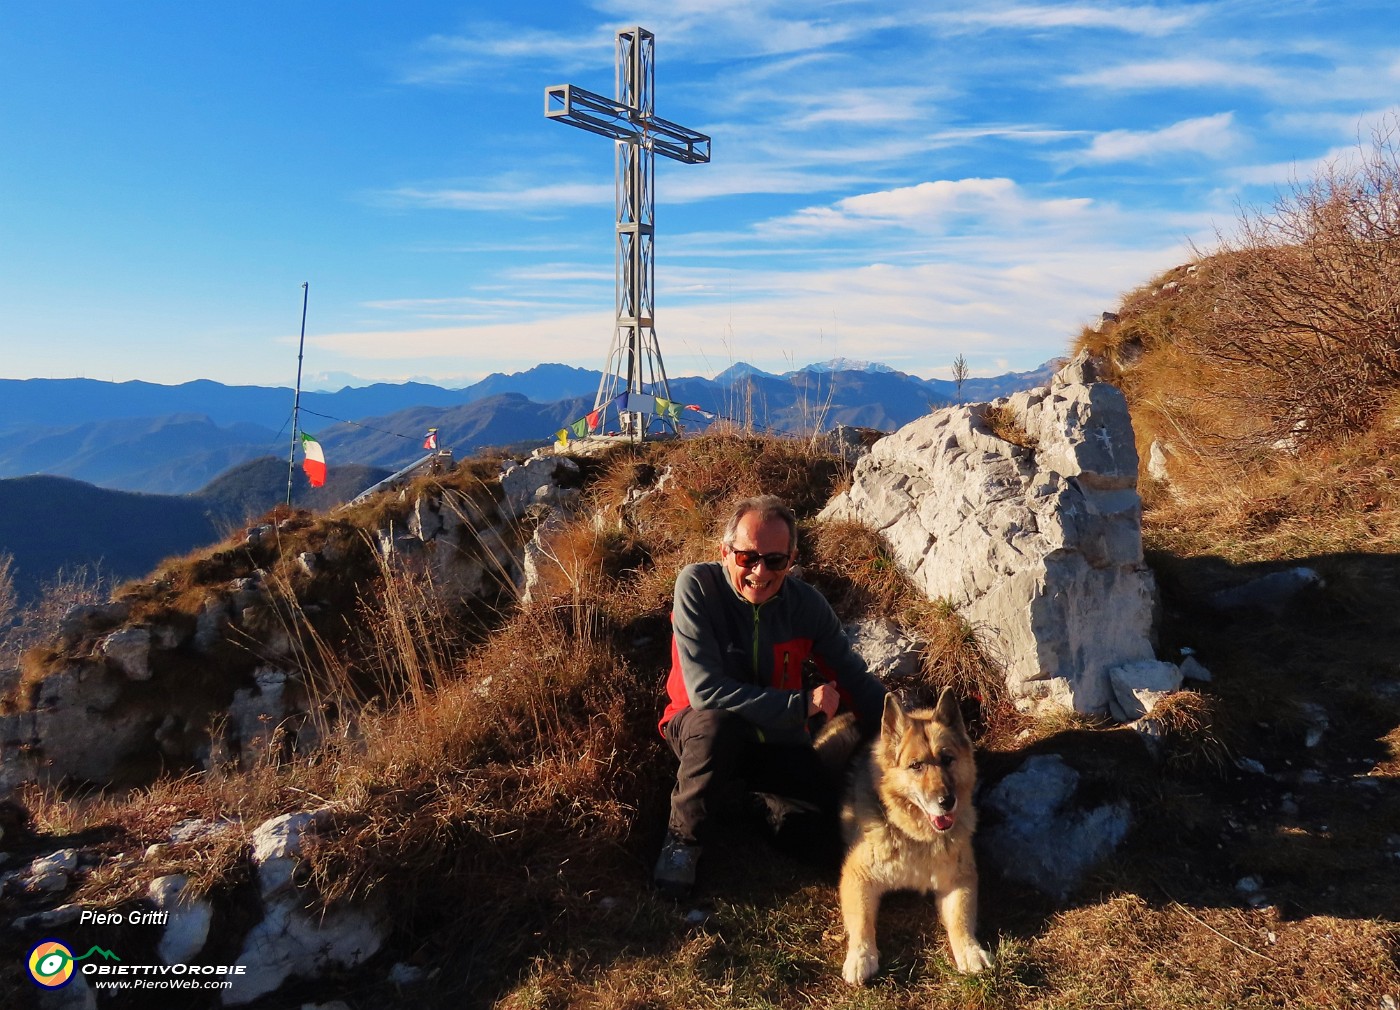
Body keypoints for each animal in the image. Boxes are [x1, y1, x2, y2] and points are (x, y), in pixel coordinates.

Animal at [834, 689, 991, 980]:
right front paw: (861, 955)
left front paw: (969, 950)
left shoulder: (959, 879)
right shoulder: (857, 878)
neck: (916, 837)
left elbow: (961, 919)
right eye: (916, 766)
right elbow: (861, 921)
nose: (947, 802)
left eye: (947, 759)